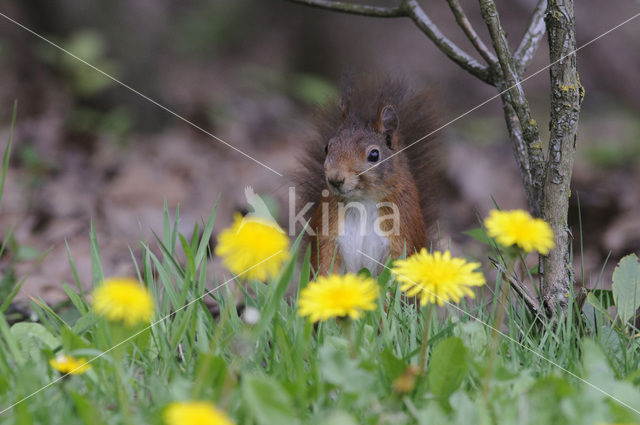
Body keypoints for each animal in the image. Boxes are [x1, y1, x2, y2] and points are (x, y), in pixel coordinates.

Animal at [296, 76, 440, 274]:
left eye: (374, 155)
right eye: (327, 147)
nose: (335, 179)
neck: (363, 201)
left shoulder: (402, 234)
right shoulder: (327, 234)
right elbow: (325, 265)